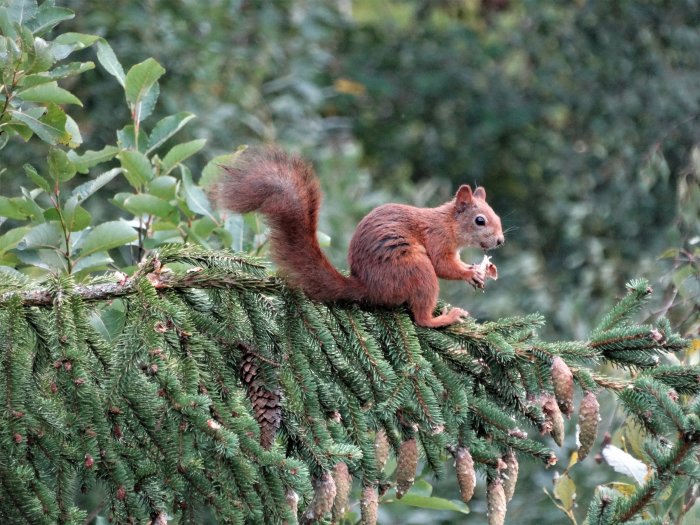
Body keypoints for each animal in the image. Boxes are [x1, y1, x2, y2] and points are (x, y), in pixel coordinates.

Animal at [215, 147, 504, 326]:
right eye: (480, 220)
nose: (500, 241)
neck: (448, 223)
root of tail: (367, 286)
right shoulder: (437, 239)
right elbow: (444, 265)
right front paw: (469, 272)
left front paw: (477, 270)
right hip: (415, 268)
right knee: (421, 318)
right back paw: (445, 317)